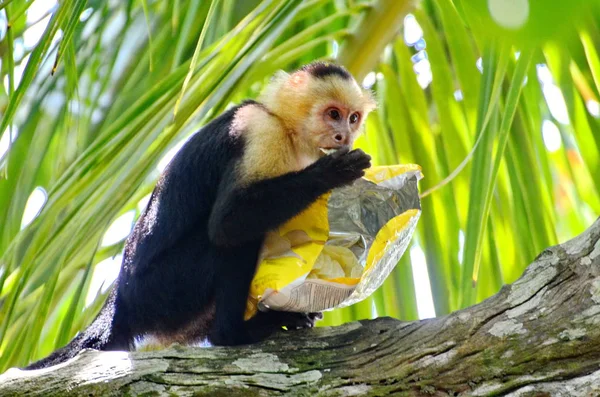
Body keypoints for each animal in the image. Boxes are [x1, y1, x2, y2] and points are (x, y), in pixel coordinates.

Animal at [27, 61, 376, 368]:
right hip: (161, 290)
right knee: (230, 244)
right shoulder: (259, 131)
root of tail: (118, 301)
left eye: (353, 118)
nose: (344, 136)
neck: (287, 128)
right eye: (333, 114)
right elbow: (228, 223)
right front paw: (331, 173)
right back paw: (234, 334)